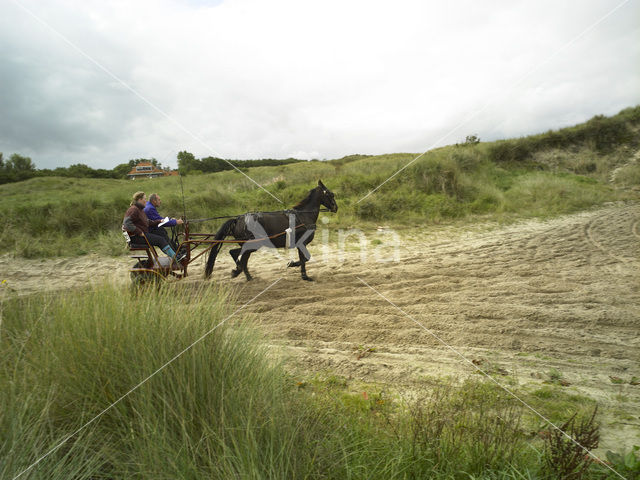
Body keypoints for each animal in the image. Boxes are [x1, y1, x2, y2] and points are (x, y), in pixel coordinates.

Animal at [205, 182, 338, 284]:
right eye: (331, 194)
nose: (336, 207)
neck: (304, 216)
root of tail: (238, 219)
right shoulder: (302, 243)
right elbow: (305, 258)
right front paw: (297, 269)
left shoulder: (301, 245)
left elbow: (304, 259)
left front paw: (301, 273)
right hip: (253, 244)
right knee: (236, 254)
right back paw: (239, 271)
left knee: (240, 257)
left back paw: (246, 275)